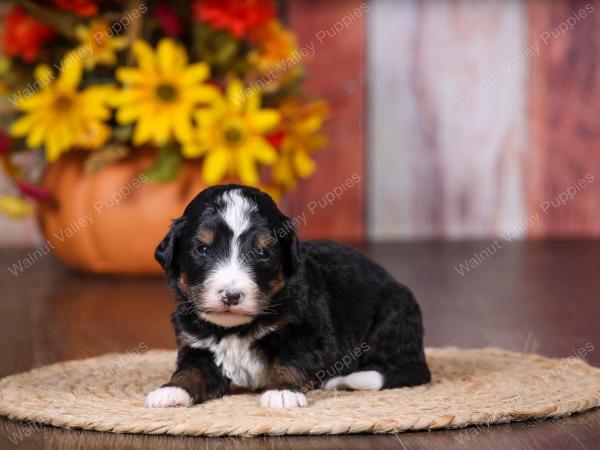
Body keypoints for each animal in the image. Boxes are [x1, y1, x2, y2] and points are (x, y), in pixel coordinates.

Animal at [145, 185, 428, 410]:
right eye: (202, 249)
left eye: (262, 253)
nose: (231, 295)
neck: (236, 329)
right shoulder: (196, 344)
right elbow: (191, 370)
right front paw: (171, 391)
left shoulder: (312, 333)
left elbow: (291, 359)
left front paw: (282, 392)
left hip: (391, 315)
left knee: (406, 370)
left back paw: (343, 379)